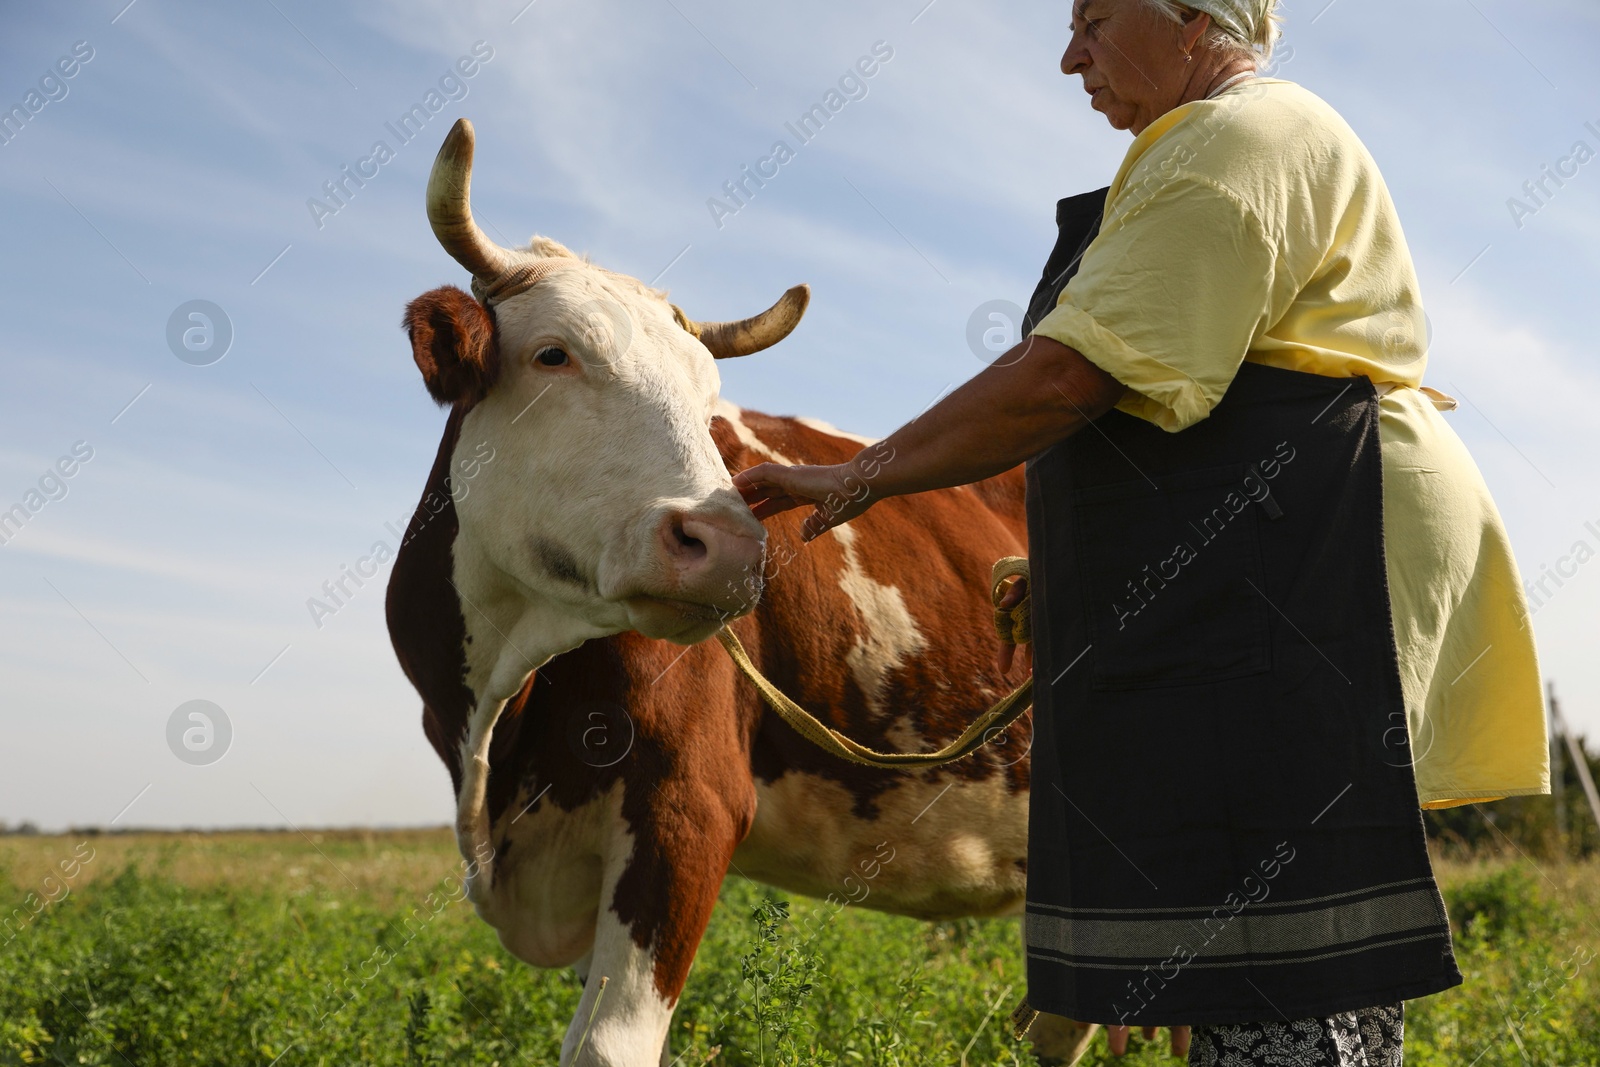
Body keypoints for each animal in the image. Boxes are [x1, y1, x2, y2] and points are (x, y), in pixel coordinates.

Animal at [384, 120, 1100, 1067]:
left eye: (710, 399)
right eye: (553, 353)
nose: (726, 544)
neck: (501, 709)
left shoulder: (687, 807)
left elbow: (607, 1044)